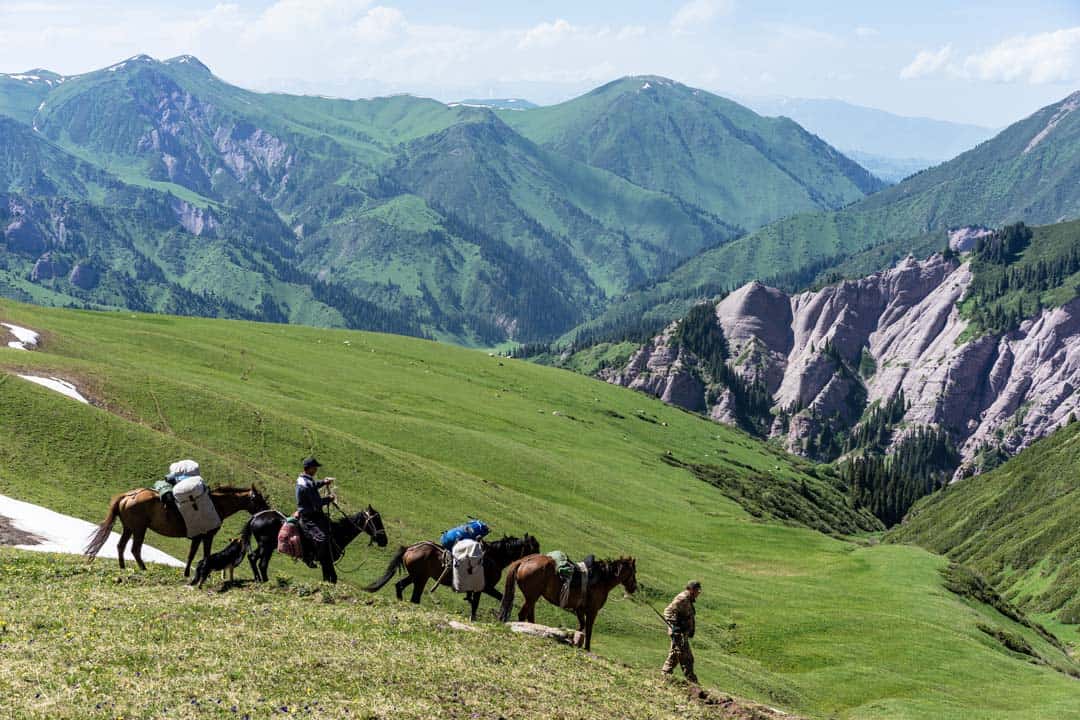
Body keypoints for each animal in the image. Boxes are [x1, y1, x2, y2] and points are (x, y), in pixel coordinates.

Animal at [84, 483, 270, 578]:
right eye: (259, 499)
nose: (267, 511)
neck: (215, 505)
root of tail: (128, 496)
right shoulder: (207, 536)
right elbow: (205, 554)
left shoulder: (198, 537)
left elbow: (191, 555)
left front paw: (187, 573)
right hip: (139, 529)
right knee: (135, 549)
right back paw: (143, 569)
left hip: (128, 528)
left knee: (121, 546)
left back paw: (123, 568)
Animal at [241, 505, 388, 582]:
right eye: (376, 520)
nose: (384, 541)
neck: (336, 532)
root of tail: (255, 517)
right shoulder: (326, 560)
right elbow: (332, 578)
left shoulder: (325, 563)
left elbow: (328, 579)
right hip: (266, 546)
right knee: (260, 562)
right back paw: (263, 581)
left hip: (265, 546)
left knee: (254, 559)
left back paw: (260, 580)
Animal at [365, 535, 540, 621]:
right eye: (534, 548)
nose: (538, 559)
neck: (493, 557)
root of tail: (410, 548)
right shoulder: (485, 588)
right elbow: (481, 602)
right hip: (421, 578)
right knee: (414, 597)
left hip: (415, 576)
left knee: (399, 586)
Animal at [498, 557, 635, 651]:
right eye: (634, 572)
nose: (634, 588)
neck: (602, 580)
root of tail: (524, 560)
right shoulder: (592, 611)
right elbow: (588, 629)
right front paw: (586, 648)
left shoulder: (580, 610)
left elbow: (581, 626)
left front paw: (574, 639)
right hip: (531, 597)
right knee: (523, 614)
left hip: (533, 598)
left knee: (529, 615)